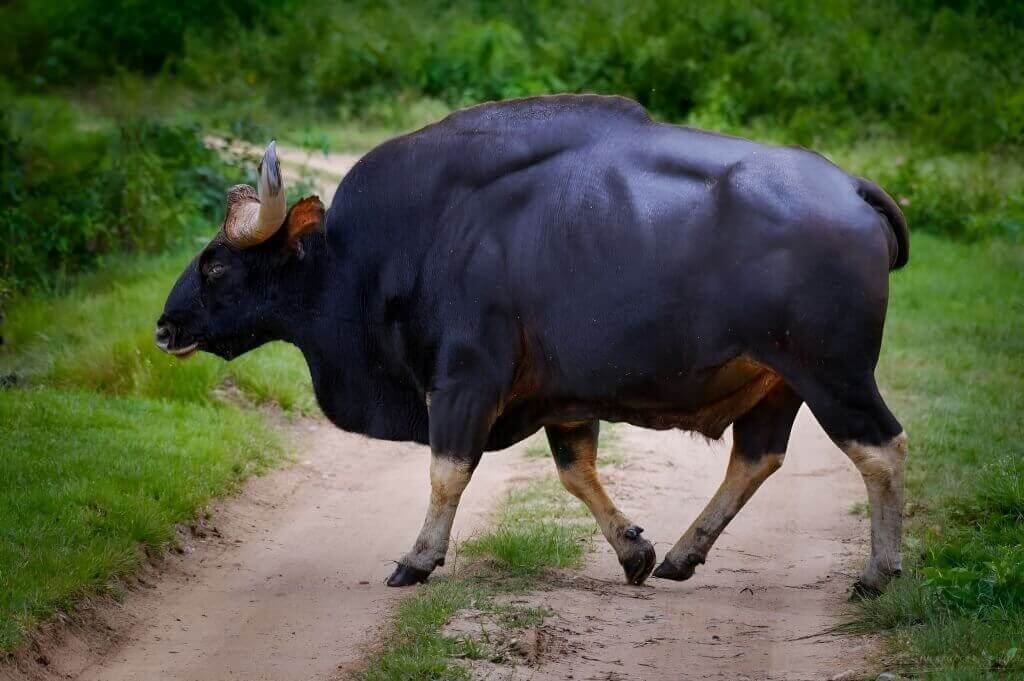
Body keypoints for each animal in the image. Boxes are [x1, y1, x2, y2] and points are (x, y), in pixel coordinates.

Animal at [155, 93, 909, 593]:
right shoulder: (564, 396)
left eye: (215, 264)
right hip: (778, 385)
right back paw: (683, 554)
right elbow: (577, 472)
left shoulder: (464, 380)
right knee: (757, 459)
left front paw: (418, 558)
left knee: (882, 447)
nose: (165, 326)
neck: (399, 246)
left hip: (832, 373)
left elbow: (447, 470)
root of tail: (851, 187)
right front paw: (633, 550)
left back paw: (878, 571)